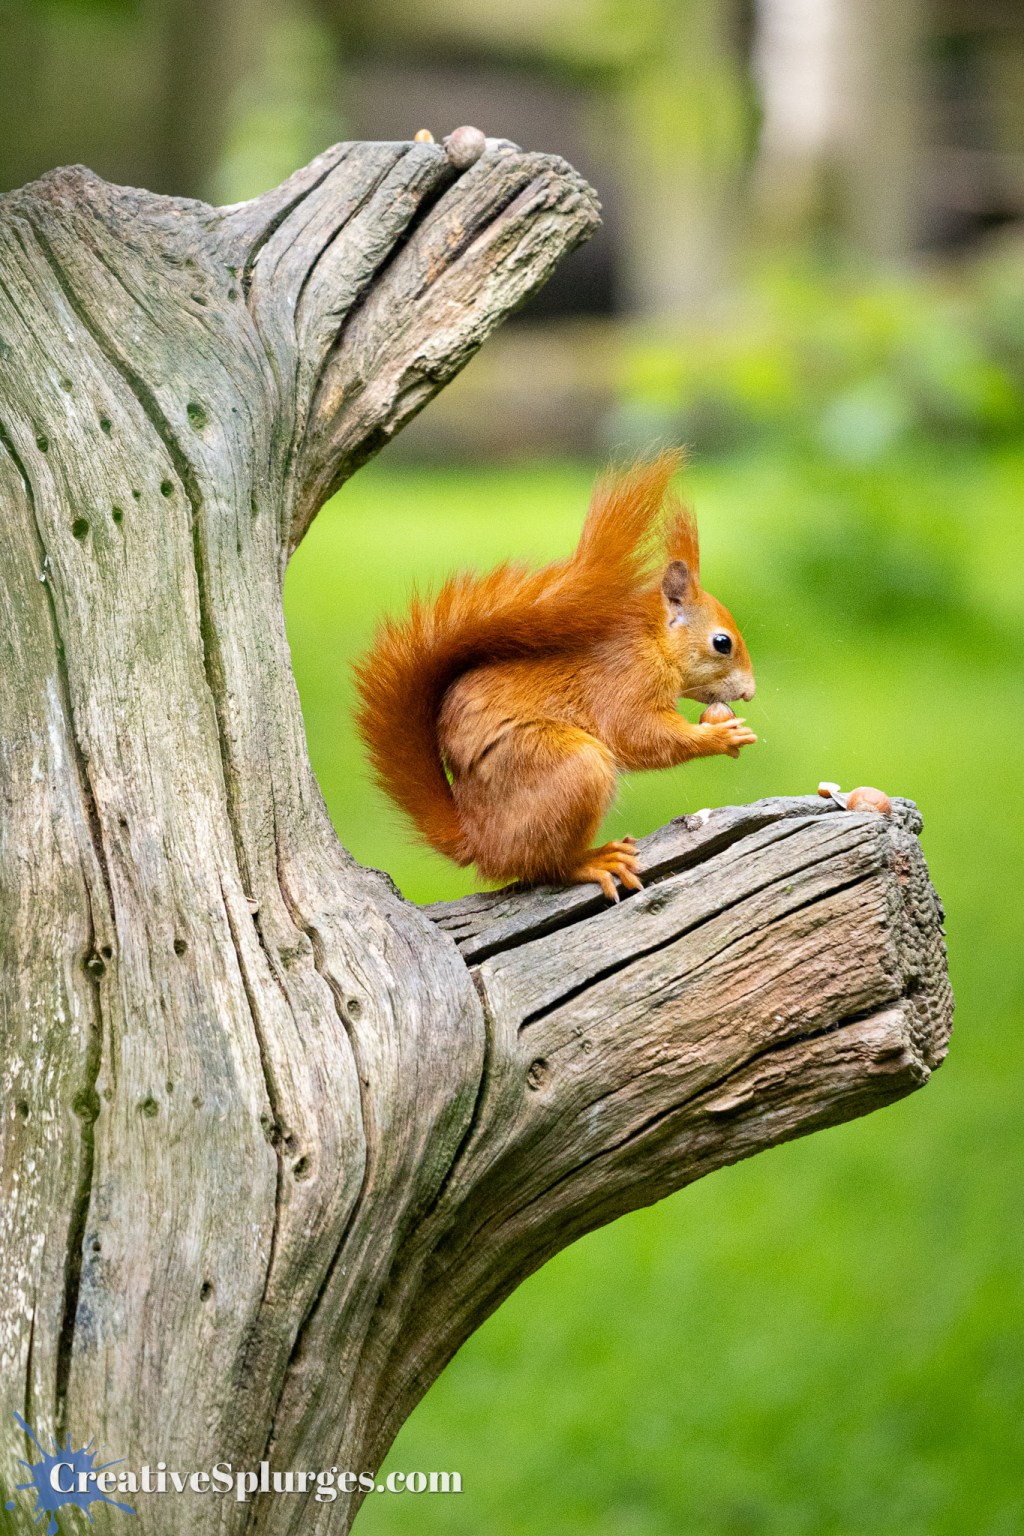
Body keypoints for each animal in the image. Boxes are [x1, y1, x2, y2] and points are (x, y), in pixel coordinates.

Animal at [354, 451, 756, 902]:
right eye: (722, 643)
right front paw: (721, 737)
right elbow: (638, 734)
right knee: (545, 867)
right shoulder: (625, 678)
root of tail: (478, 841)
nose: (750, 692)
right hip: (570, 766)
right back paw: (593, 860)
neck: (652, 640)